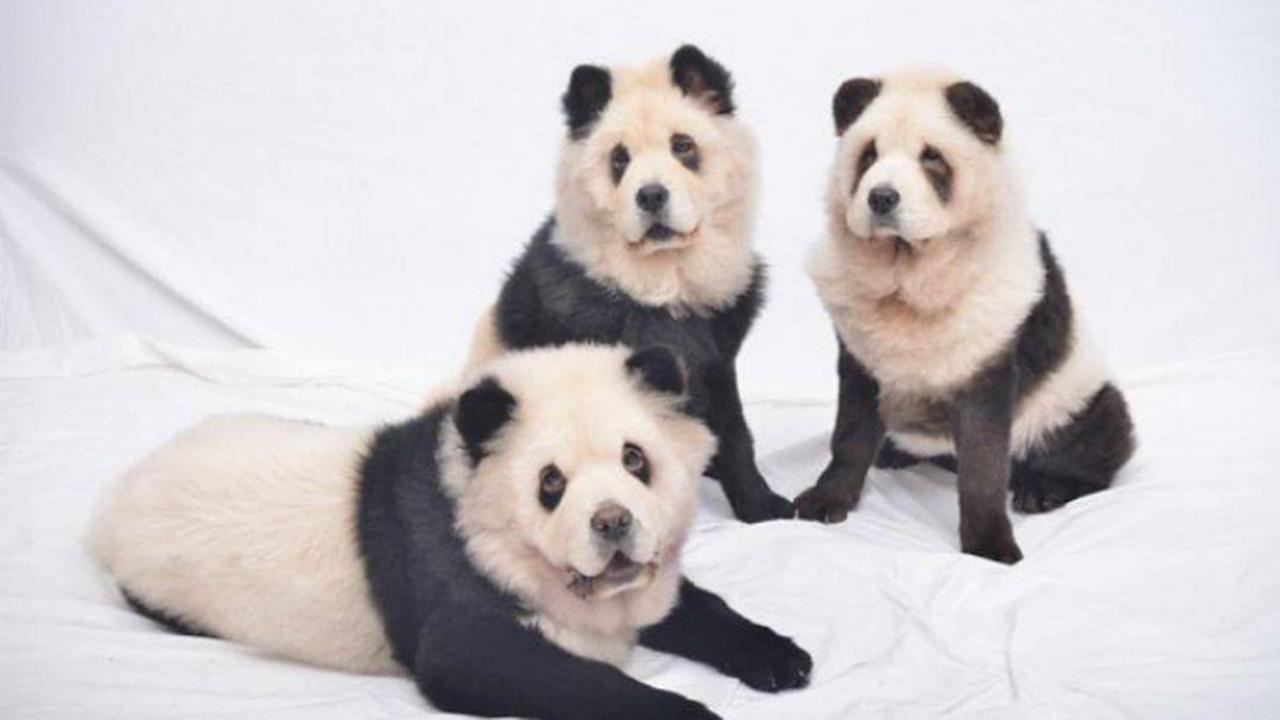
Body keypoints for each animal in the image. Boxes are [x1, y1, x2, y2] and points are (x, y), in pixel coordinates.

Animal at [91, 344, 812, 719]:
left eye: (636, 459)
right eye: (551, 483)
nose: (612, 523)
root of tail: (118, 493)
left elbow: (692, 606)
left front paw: (779, 656)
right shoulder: (447, 565)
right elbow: (493, 662)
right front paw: (693, 715)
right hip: (167, 581)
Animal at [462, 45, 793, 523]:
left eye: (683, 146)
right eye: (619, 159)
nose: (651, 195)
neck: (664, 280)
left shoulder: (716, 347)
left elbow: (733, 428)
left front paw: (762, 505)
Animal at [794, 70, 1135, 564]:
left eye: (931, 157)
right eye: (869, 154)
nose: (881, 198)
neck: (907, 274)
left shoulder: (992, 338)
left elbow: (984, 454)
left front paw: (989, 543)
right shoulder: (859, 341)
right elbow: (851, 429)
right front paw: (826, 499)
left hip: (1073, 397)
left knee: (1097, 438)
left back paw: (1045, 489)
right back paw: (894, 452)